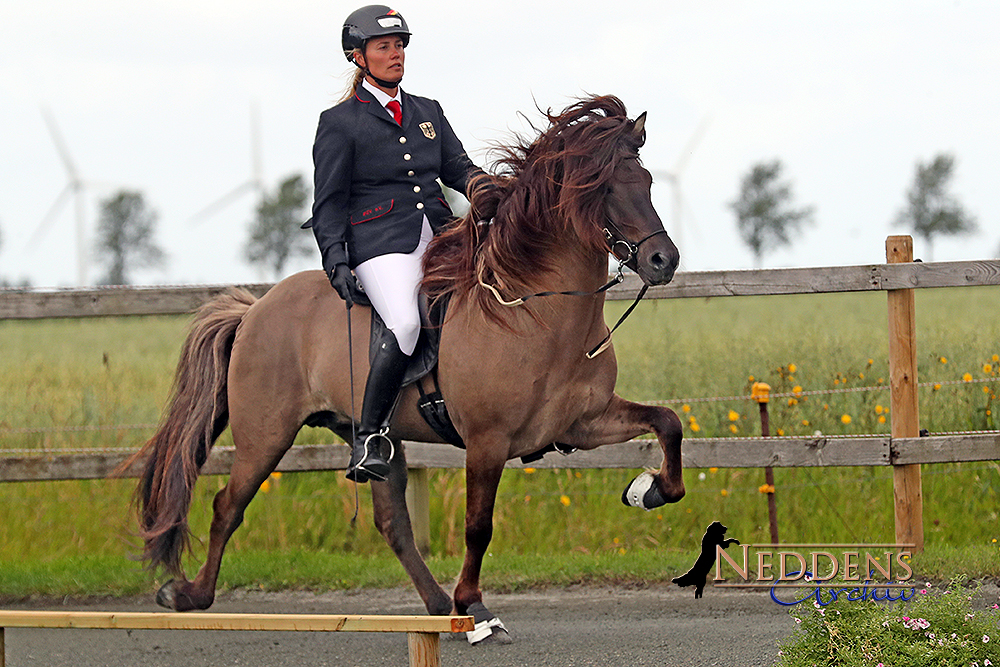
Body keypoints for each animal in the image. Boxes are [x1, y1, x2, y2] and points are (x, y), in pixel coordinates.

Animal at [127, 96, 688, 644]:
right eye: (606, 188)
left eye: (648, 182)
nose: (664, 261)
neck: (538, 311)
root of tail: (254, 310)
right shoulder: (487, 441)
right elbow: (478, 526)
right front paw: (476, 608)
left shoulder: (582, 423)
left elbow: (668, 423)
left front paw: (649, 490)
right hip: (265, 434)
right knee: (228, 505)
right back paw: (187, 596)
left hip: (374, 438)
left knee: (391, 521)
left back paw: (437, 608)